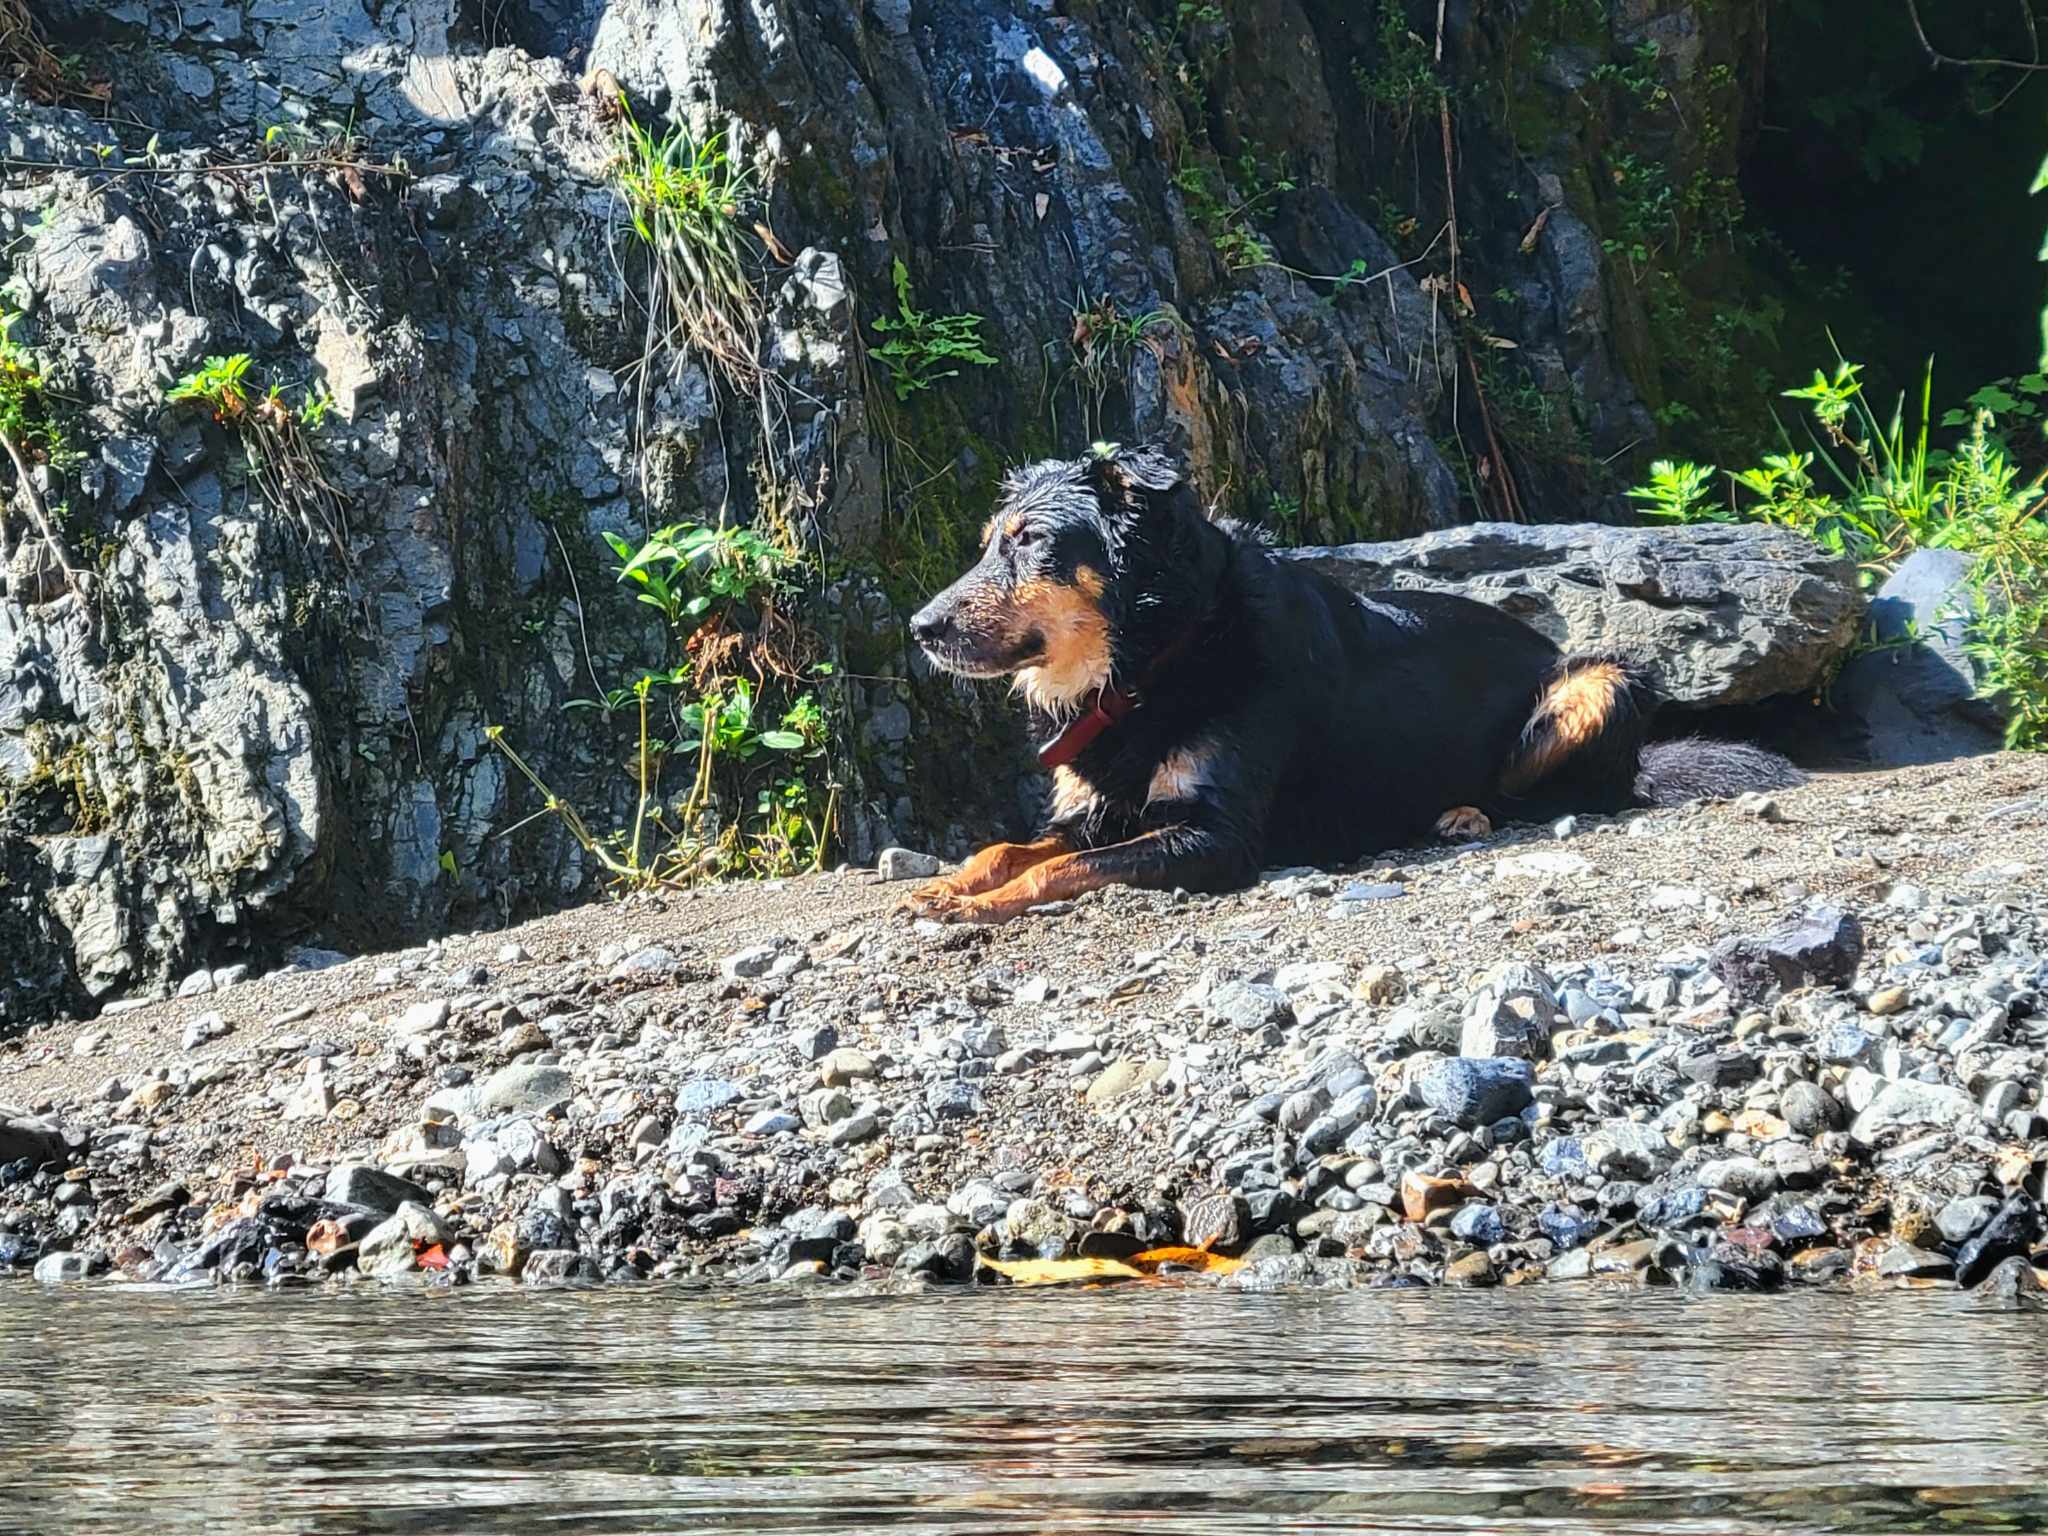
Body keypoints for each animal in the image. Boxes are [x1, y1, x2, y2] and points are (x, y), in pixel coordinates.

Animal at [905, 444, 1802, 925]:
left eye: (1029, 542)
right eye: (988, 543)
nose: (919, 628)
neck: (1157, 657)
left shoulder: (1217, 836)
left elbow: (1056, 870)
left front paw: (974, 905)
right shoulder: (1099, 812)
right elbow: (1008, 847)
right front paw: (952, 882)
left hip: (1597, 681)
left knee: (1561, 796)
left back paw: (1465, 813)